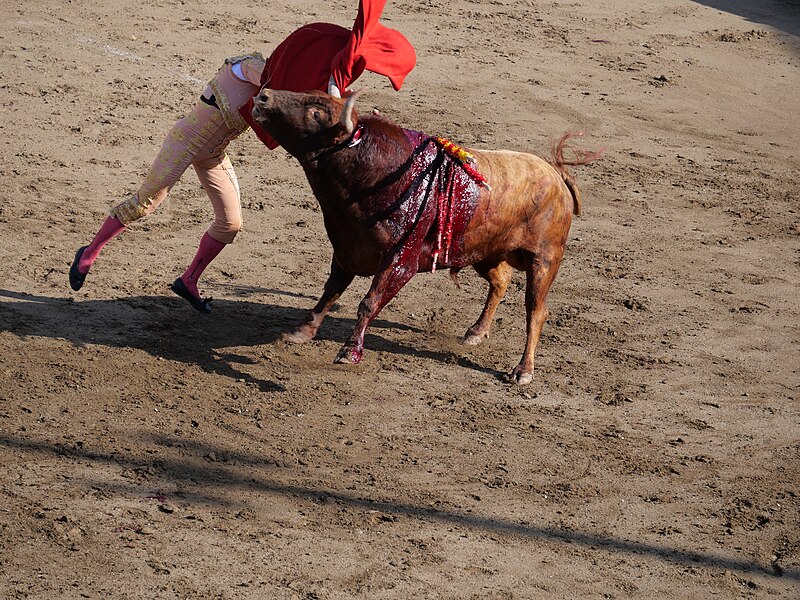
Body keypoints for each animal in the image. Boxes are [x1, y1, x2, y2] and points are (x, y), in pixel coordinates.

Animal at [250, 88, 600, 384]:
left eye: (316, 113)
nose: (264, 96)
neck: (376, 174)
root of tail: (555, 174)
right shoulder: (347, 251)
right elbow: (330, 293)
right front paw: (302, 331)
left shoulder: (400, 259)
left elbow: (369, 302)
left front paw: (349, 351)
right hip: (484, 251)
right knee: (500, 281)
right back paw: (476, 332)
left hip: (544, 258)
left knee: (536, 310)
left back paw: (522, 371)